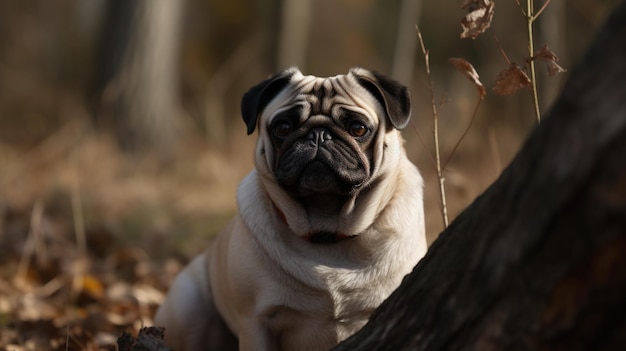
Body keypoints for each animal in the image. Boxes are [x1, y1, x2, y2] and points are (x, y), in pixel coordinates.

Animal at [155, 67, 426, 350]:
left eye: (358, 128)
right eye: (283, 128)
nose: (319, 135)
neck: (326, 230)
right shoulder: (256, 323)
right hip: (188, 308)